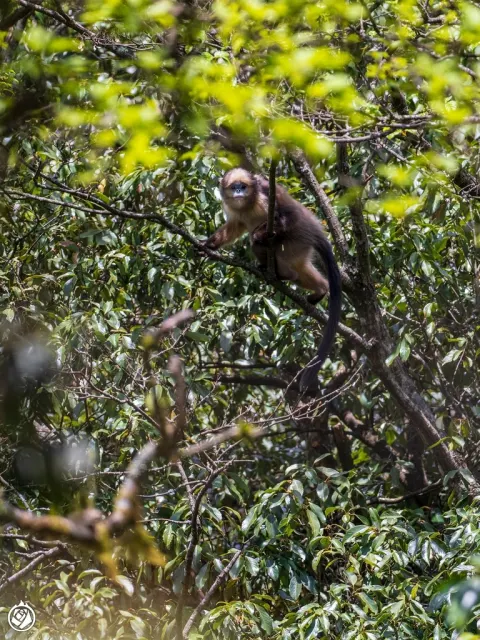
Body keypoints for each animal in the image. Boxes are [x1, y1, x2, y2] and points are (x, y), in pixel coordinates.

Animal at [204, 167, 342, 391]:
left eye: (243, 186)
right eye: (234, 187)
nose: (239, 191)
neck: (248, 203)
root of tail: (313, 229)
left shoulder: (266, 191)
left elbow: (283, 213)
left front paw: (260, 233)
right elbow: (234, 227)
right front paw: (209, 244)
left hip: (295, 236)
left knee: (264, 240)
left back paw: (277, 265)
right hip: (299, 247)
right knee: (299, 270)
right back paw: (318, 288)